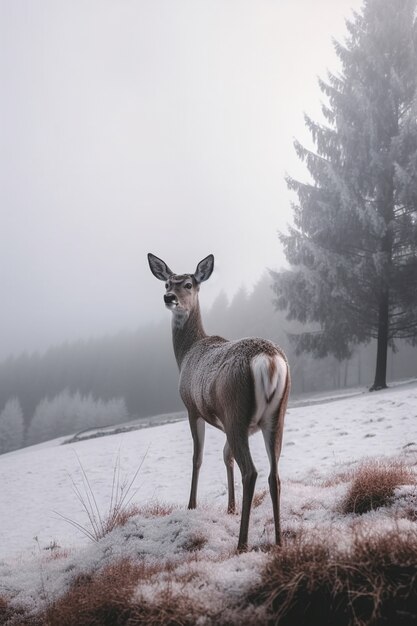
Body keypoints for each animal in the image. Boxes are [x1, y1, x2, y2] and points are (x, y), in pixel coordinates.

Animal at [149, 251, 290, 548]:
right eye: (166, 283)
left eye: (188, 284)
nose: (169, 298)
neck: (186, 354)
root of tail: (270, 362)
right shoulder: (226, 423)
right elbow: (226, 457)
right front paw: (230, 508)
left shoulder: (192, 408)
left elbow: (198, 457)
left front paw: (191, 506)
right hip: (275, 416)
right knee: (274, 475)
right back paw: (279, 541)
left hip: (236, 409)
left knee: (251, 472)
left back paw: (242, 543)